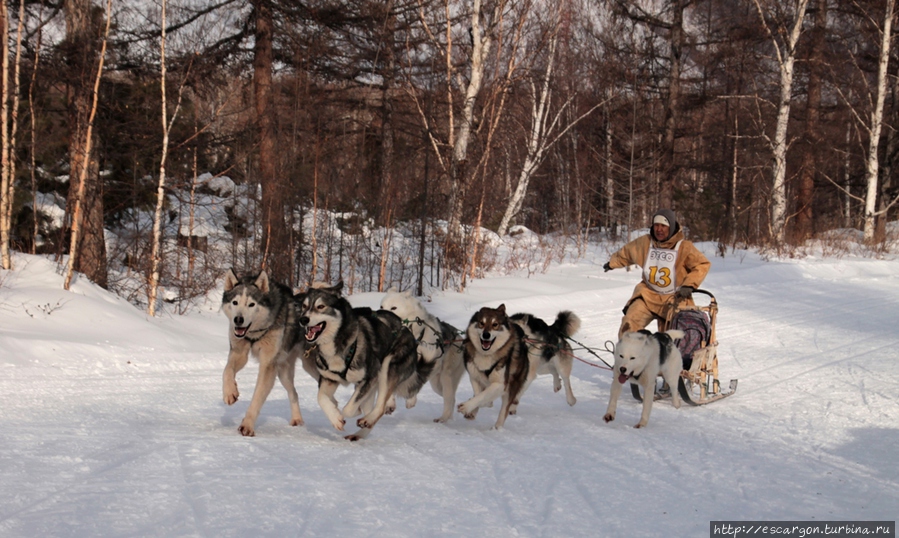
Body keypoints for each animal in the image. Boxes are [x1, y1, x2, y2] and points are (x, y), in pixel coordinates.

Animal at [220, 268, 318, 436]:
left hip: (314, 367)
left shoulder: (267, 364)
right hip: (283, 372)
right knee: (294, 393)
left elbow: (257, 396)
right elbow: (227, 371)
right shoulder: (239, 353)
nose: (238, 320)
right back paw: (297, 419)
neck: (254, 333)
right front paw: (230, 392)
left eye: (251, 304)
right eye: (235, 302)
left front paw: (247, 425)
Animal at [298, 280, 436, 440]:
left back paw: (367, 420)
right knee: (374, 408)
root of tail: (405, 329)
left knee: (380, 406)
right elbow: (321, 398)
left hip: (387, 368)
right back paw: (358, 434)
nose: (303, 319)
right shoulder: (329, 379)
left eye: (320, 306)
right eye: (304, 306)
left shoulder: (369, 378)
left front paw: (345, 414)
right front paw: (335, 418)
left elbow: (348, 409)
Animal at [382, 286, 468, 420]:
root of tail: (458, 337)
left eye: (393, 308)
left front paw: (411, 400)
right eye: (382, 306)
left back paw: (443, 419)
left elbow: (415, 384)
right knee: (451, 398)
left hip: (446, 378)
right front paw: (390, 404)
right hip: (437, 386)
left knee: (450, 399)